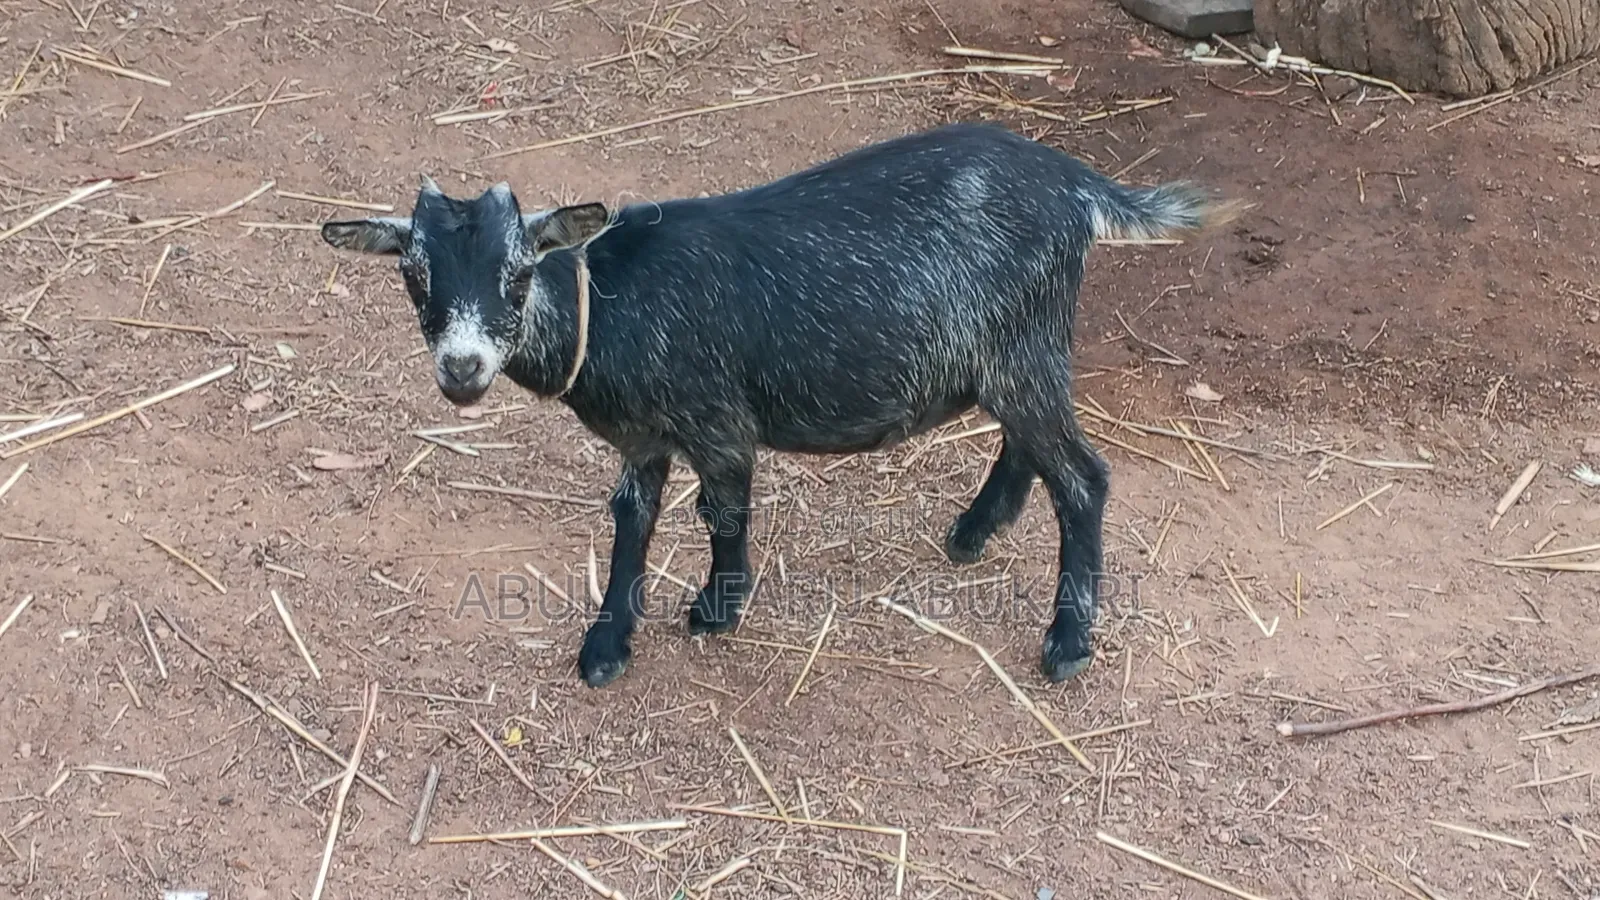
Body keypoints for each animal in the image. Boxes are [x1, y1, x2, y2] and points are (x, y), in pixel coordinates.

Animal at [322, 121, 1242, 689]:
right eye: (414, 276)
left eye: (517, 274)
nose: (461, 369)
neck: (608, 302)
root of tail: (1077, 186)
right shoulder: (643, 439)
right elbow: (631, 522)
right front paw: (607, 645)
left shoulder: (718, 423)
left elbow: (723, 513)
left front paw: (717, 611)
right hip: (1012, 352)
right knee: (1032, 446)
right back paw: (976, 531)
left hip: (1023, 348)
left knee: (1084, 477)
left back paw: (1067, 641)